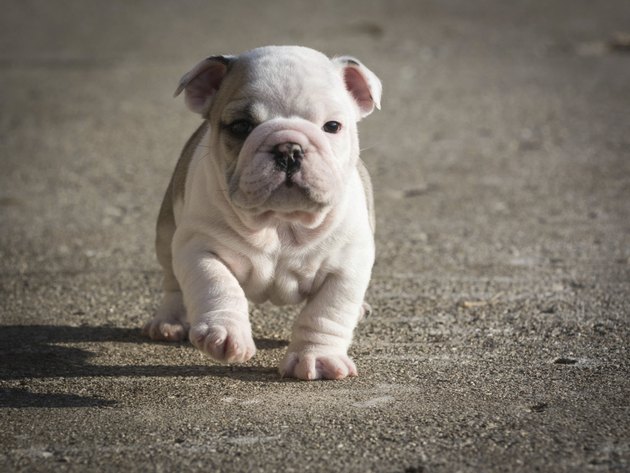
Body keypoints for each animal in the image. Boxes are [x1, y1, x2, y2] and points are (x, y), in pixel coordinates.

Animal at [143, 45, 380, 380]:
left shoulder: (347, 264)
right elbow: (216, 283)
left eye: (332, 126)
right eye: (241, 126)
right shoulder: (198, 246)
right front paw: (224, 332)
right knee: (172, 279)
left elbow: (327, 312)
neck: (281, 222)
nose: (289, 149)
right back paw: (170, 321)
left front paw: (317, 357)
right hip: (166, 234)